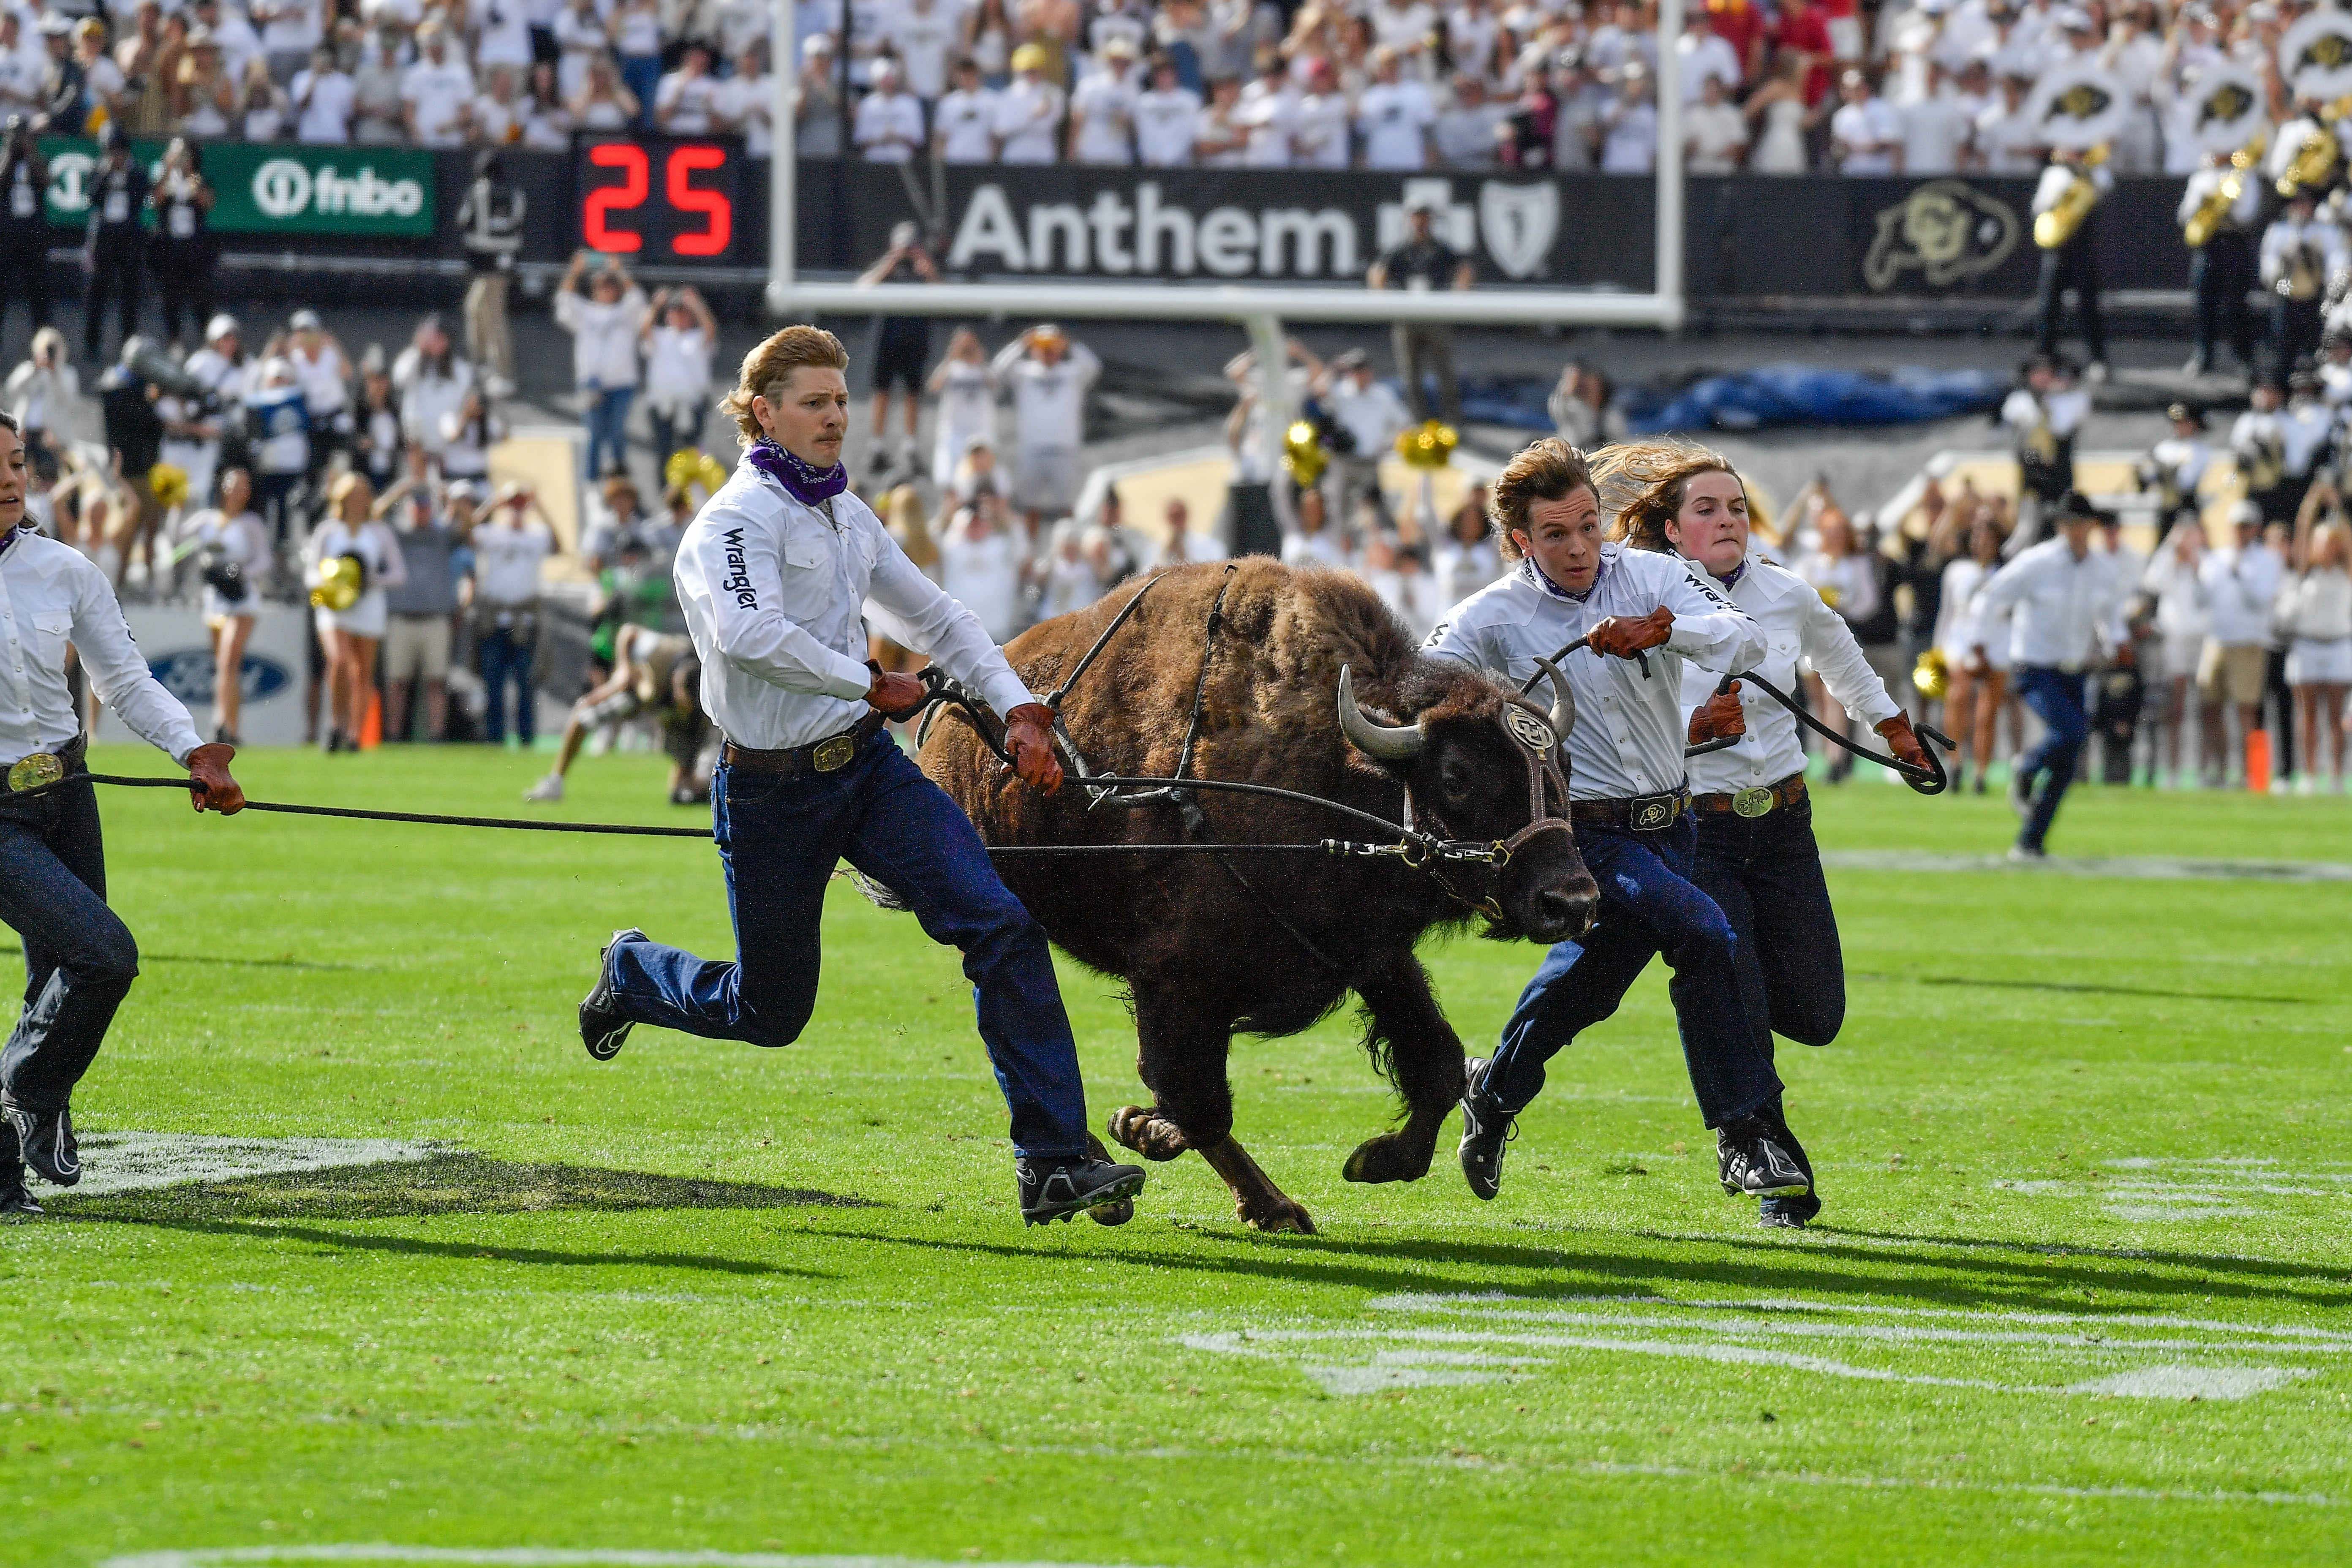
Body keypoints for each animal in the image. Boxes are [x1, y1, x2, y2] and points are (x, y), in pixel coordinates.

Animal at [912, 557, 1599, 1232]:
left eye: (1561, 769)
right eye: (1456, 776)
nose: (1572, 901)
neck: (1336, 771)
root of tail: (947, 725)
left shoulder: (1371, 956)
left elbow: (1437, 1063)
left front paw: (1373, 1161)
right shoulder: (1176, 981)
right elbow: (1196, 1102)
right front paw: (1145, 1131)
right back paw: (1119, 1185)